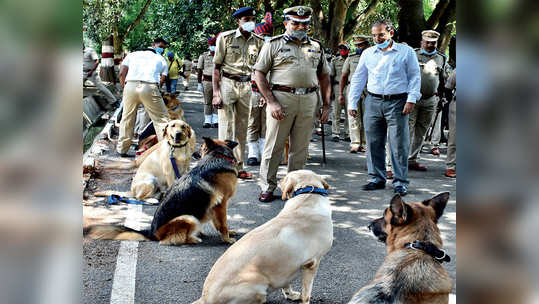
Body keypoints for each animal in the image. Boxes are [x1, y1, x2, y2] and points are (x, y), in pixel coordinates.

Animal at [85, 137, 240, 245]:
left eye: (201, 148)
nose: (194, 153)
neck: (218, 156)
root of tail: (152, 232)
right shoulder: (221, 204)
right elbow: (223, 224)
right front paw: (227, 239)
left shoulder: (214, 207)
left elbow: (219, 224)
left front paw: (228, 234)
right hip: (189, 217)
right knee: (171, 240)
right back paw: (193, 239)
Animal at [195, 170, 334, 304]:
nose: (279, 180)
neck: (307, 195)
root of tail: (205, 297)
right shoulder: (312, 263)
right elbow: (306, 294)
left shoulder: (287, 266)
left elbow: (286, 283)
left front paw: (290, 294)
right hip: (257, 287)